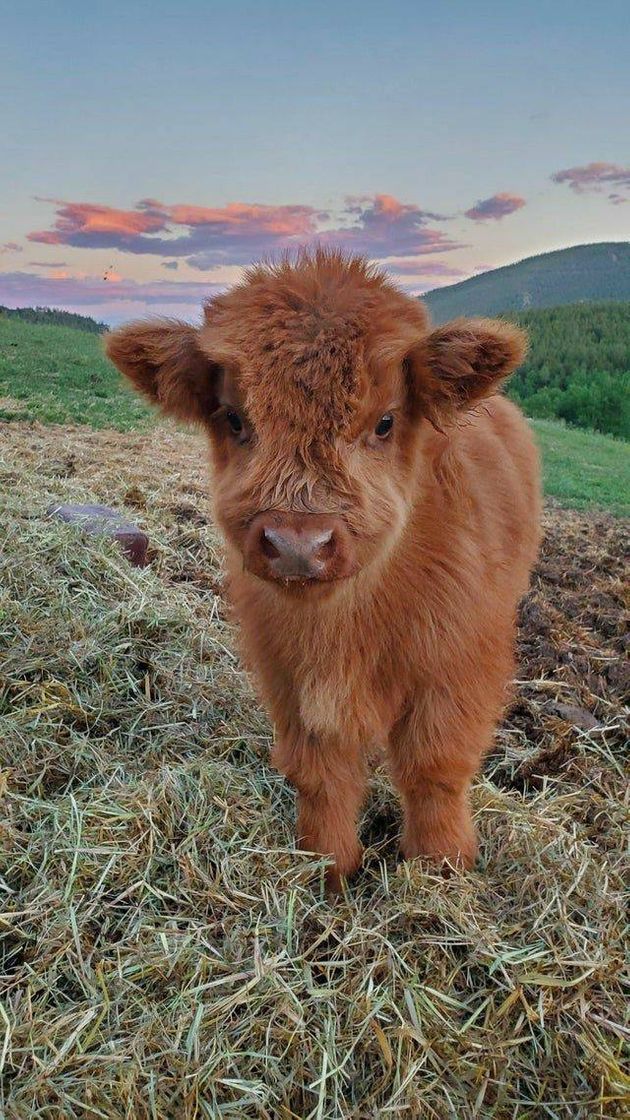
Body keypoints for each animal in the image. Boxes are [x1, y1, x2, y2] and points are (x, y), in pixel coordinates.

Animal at [106, 252, 540, 891]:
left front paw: (441, 868)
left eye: (384, 422)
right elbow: (320, 772)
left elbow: (435, 765)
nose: (297, 545)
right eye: (233, 418)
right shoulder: (288, 672)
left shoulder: (458, 665)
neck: (347, 625)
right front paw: (328, 869)